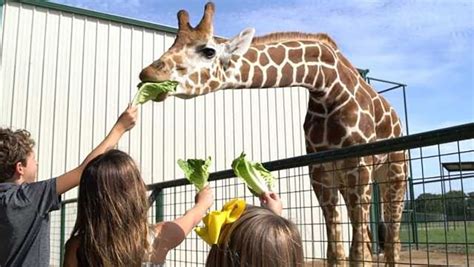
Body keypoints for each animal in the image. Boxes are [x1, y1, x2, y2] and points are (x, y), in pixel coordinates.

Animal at [140, 3, 408, 266]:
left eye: (208, 51)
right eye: (172, 45)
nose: (149, 73)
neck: (326, 87)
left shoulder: (358, 164)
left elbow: (359, 254)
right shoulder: (320, 171)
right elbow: (335, 252)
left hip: (394, 172)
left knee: (392, 240)